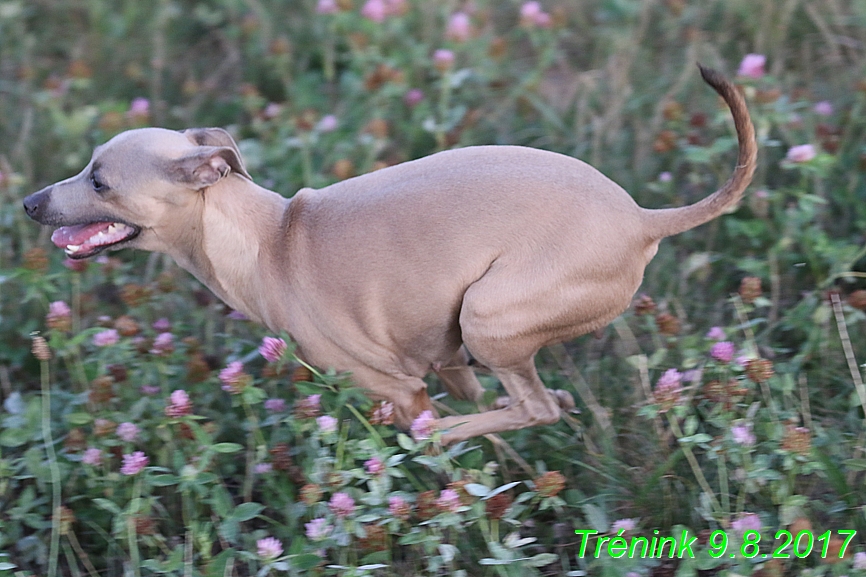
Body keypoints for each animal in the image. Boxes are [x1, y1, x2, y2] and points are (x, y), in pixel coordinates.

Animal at [18, 66, 748, 440]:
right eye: (86, 167)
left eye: (99, 181)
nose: (27, 203)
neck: (267, 239)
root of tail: (641, 217)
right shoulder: (445, 362)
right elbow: (468, 398)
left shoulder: (399, 386)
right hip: (489, 329)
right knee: (536, 402)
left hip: (491, 316)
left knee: (528, 408)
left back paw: (464, 429)